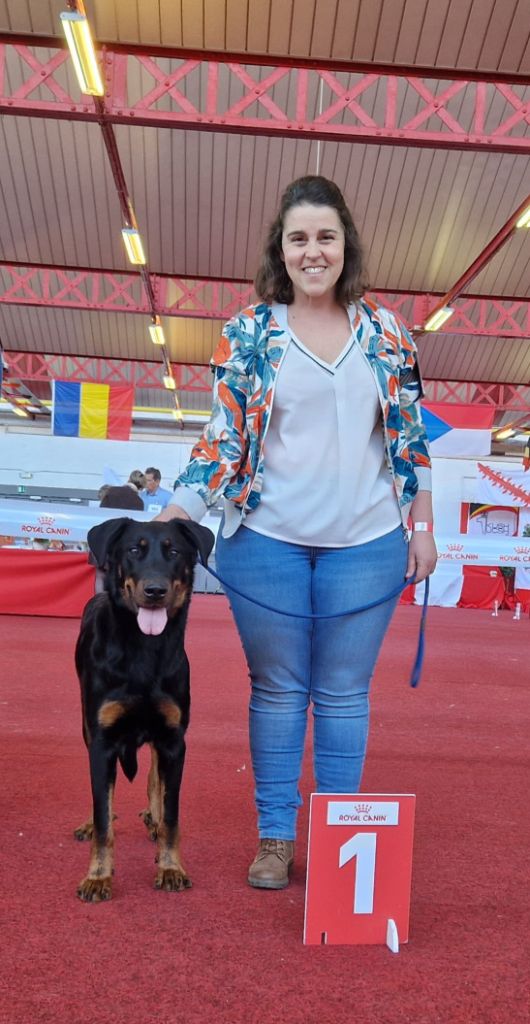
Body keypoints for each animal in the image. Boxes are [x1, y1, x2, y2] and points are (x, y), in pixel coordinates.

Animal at [74, 516, 215, 901]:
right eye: (134, 550)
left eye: (175, 552)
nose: (154, 591)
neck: (143, 648)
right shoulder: (103, 741)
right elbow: (103, 813)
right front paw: (98, 876)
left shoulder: (173, 739)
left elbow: (171, 813)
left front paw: (170, 867)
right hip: (86, 726)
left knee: (153, 776)